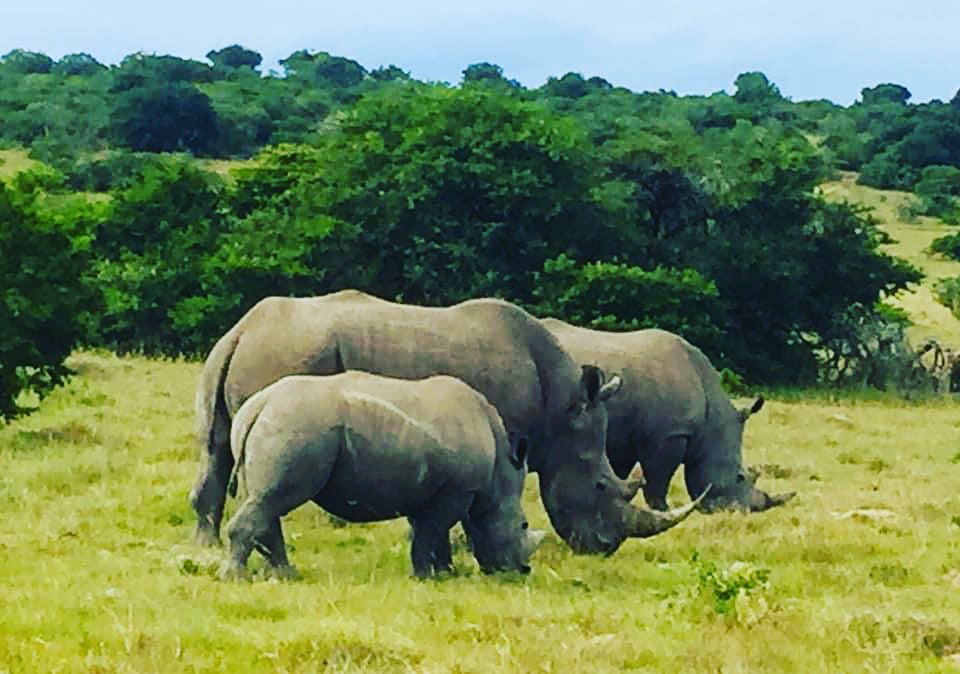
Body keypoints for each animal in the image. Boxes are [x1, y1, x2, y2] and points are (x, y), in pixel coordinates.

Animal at [192, 290, 704, 556]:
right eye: (600, 485)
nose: (604, 547)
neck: (561, 409)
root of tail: (242, 331)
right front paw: (460, 545)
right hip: (289, 354)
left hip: (248, 355)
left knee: (217, 452)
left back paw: (205, 547)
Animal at [220, 371, 545, 579]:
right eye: (524, 524)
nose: (522, 571)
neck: (499, 470)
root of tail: (259, 406)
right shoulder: (457, 491)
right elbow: (432, 532)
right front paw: (427, 577)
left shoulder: (428, 487)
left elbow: (429, 532)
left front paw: (443, 574)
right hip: (296, 423)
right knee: (273, 499)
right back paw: (235, 578)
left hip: (282, 422)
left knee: (265, 502)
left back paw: (286, 575)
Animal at [541, 320, 795, 513]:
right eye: (740, 477)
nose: (741, 511)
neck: (712, 421)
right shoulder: (669, 434)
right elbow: (659, 477)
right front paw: (662, 510)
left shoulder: (624, 436)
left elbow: (618, 472)